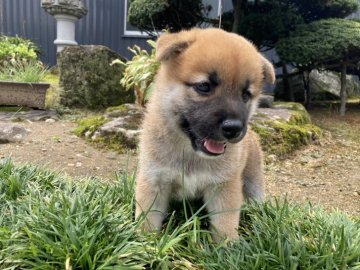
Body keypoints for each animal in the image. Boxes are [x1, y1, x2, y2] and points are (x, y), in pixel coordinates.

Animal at [135, 28, 276, 242]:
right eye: (204, 86)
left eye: (245, 95)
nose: (234, 128)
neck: (189, 152)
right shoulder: (153, 182)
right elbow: (147, 222)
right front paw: (144, 244)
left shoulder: (224, 187)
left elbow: (224, 225)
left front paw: (228, 248)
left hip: (253, 178)